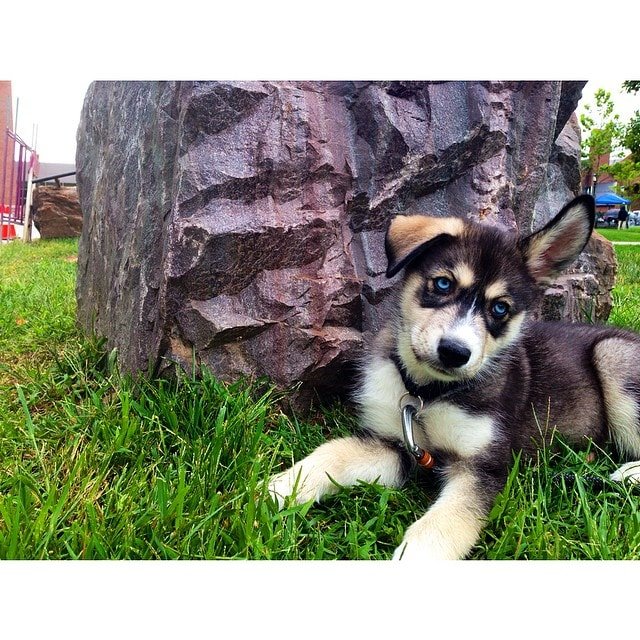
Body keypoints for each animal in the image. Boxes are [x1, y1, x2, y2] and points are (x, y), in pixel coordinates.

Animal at [268, 196, 640, 560]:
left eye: (500, 308)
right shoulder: (394, 447)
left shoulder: (481, 467)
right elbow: (334, 452)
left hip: (612, 354)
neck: (428, 394)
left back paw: (629, 474)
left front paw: (416, 560)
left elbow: (444, 523)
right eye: (443, 283)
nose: (454, 352)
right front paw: (277, 489)